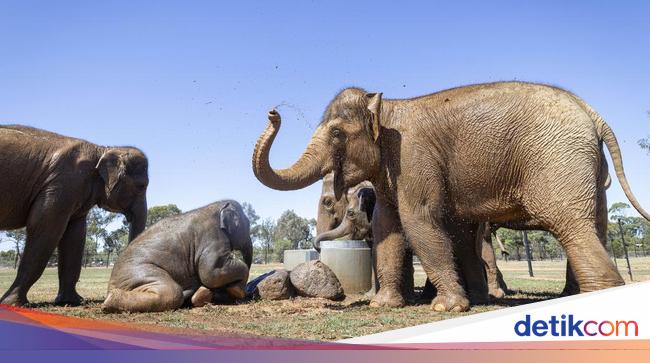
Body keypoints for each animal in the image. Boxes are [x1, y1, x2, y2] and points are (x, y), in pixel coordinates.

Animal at [0, 125, 148, 308]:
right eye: (142, 186)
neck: (101, 149)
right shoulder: (63, 184)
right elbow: (45, 228)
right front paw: (13, 303)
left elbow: (74, 237)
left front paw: (71, 301)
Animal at [102, 200, 252, 314]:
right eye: (249, 224)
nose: (246, 294)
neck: (216, 205)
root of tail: (110, 285)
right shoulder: (213, 238)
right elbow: (211, 272)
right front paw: (237, 291)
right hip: (138, 271)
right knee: (172, 292)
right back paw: (110, 301)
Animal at [253, 82, 648, 312]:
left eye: (336, 133)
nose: (273, 111)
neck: (389, 105)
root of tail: (593, 114)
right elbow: (387, 228)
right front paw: (384, 305)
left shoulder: (413, 159)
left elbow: (419, 222)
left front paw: (447, 308)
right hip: (587, 171)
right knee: (593, 228)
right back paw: (570, 296)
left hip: (558, 161)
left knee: (572, 226)